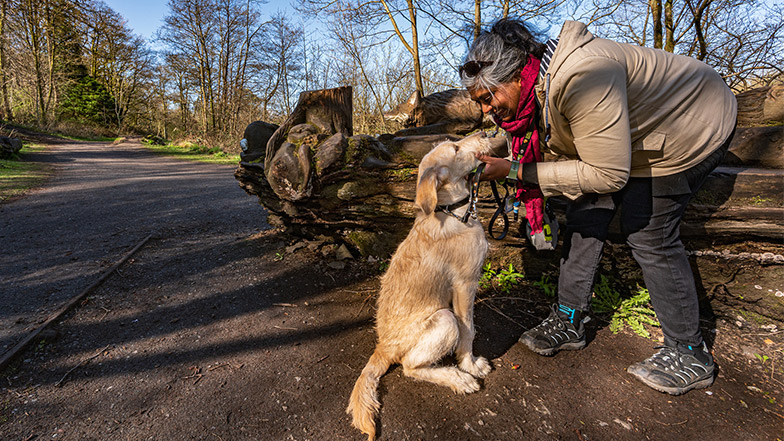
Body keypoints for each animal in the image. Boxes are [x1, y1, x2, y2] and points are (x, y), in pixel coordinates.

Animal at [348, 132, 490, 438]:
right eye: (456, 149)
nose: (485, 133)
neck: (451, 211)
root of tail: (383, 347)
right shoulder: (465, 284)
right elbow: (469, 330)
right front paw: (470, 365)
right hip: (444, 318)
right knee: (410, 367)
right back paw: (457, 378)